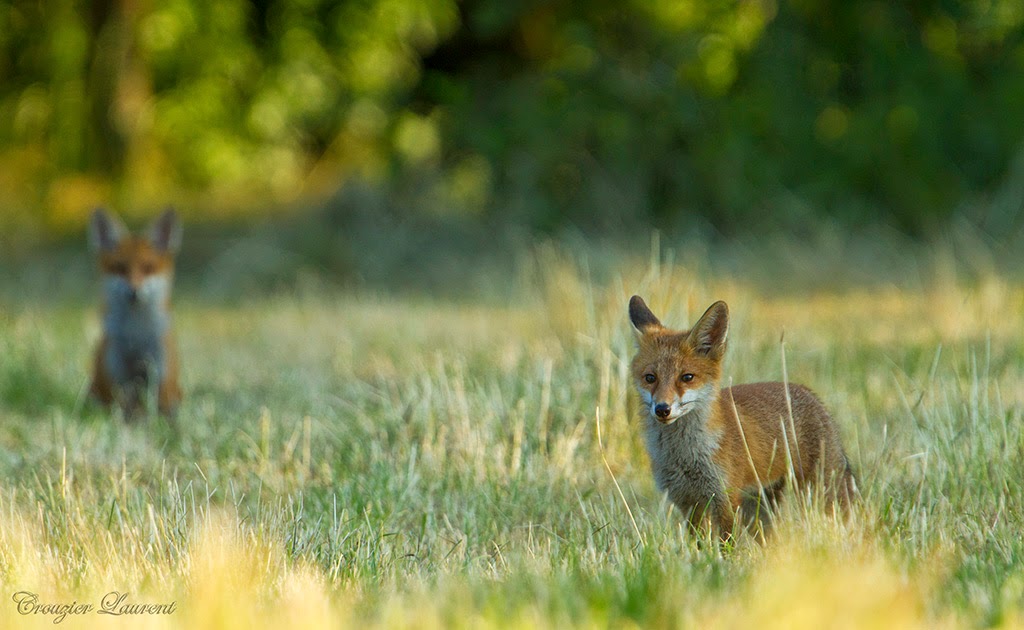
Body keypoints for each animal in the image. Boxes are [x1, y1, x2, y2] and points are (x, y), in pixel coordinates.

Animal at [87, 207, 182, 424]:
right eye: (120, 268)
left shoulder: (160, 371)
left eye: (148, 268)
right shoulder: (119, 374)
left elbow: (160, 412)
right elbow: (126, 413)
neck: (136, 334)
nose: (134, 291)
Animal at [622, 295, 856, 536]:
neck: (684, 457)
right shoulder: (688, 502)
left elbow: (727, 541)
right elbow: (698, 541)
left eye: (687, 377)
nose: (662, 409)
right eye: (650, 378)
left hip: (821, 491)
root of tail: (810, 394)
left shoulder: (725, 497)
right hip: (761, 508)